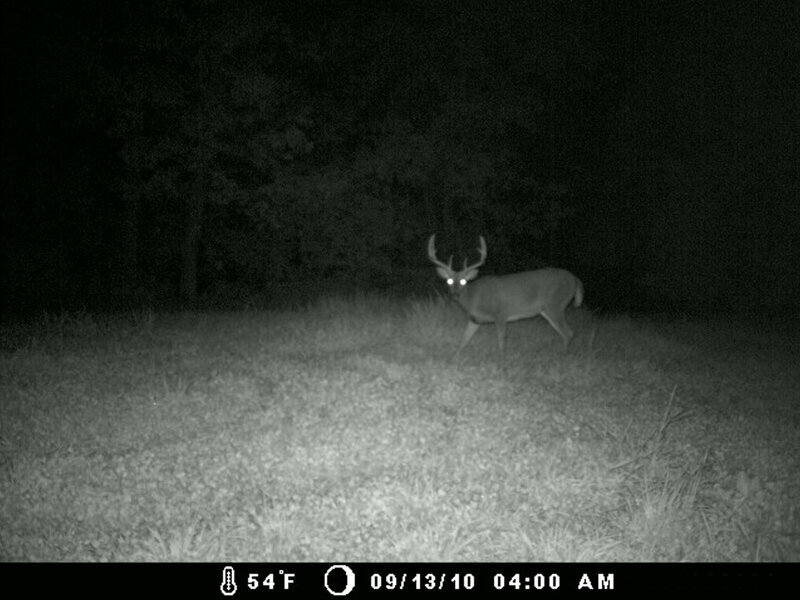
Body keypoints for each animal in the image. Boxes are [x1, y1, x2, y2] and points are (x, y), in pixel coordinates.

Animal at [427, 234, 583, 356]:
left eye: (464, 281)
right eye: (449, 280)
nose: (455, 294)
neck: (474, 298)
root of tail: (575, 279)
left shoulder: (501, 313)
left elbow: (501, 341)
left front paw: (502, 360)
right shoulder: (475, 320)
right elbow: (463, 340)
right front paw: (455, 356)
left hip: (555, 304)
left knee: (568, 332)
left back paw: (563, 356)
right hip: (549, 308)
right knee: (568, 332)